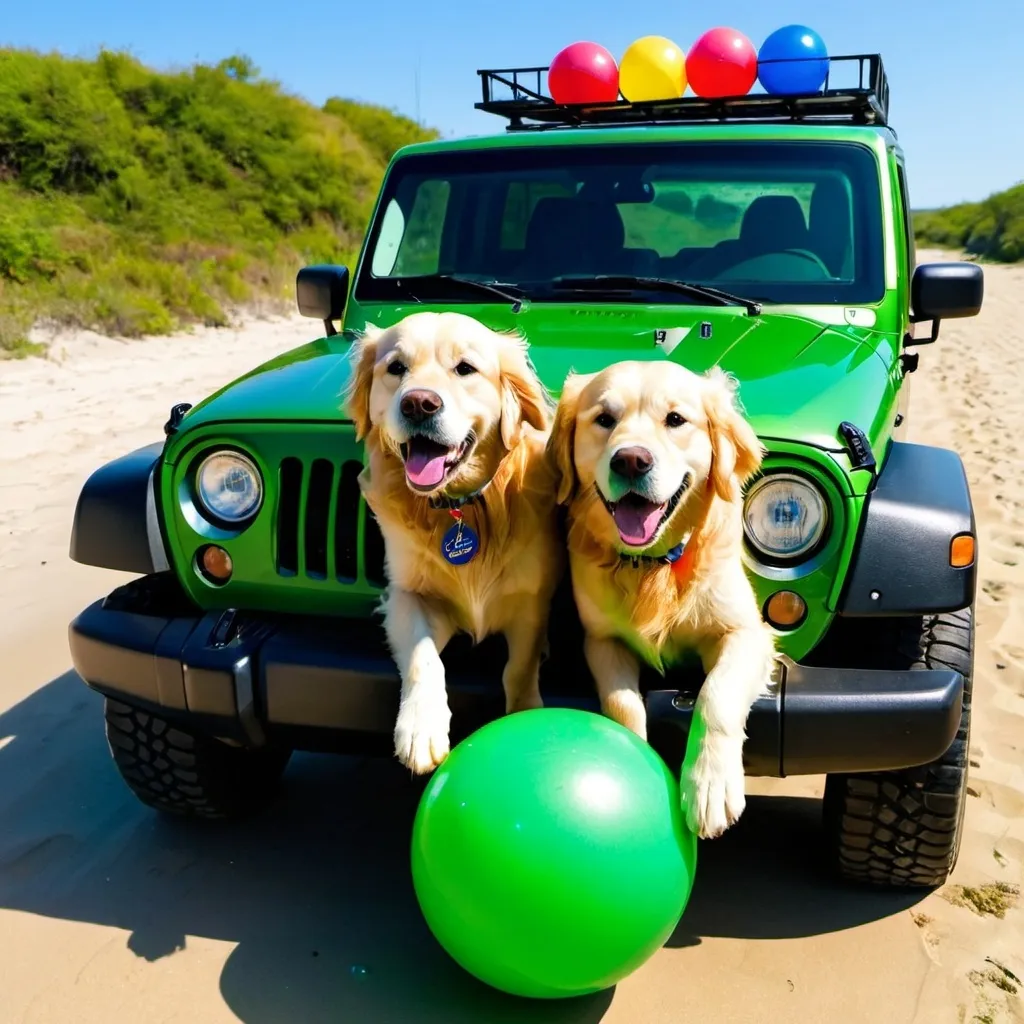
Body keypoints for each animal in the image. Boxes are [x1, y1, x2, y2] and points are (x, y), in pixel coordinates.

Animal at [348, 311, 565, 774]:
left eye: (465, 368)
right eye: (396, 368)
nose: (418, 403)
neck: (462, 508)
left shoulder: (530, 602)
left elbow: (519, 668)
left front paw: (525, 711)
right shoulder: (407, 596)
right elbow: (424, 658)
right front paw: (420, 727)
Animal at [552, 360, 774, 839]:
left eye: (675, 420)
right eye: (604, 419)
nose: (631, 459)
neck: (651, 566)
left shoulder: (747, 633)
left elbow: (716, 693)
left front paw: (710, 784)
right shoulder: (601, 641)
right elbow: (622, 704)